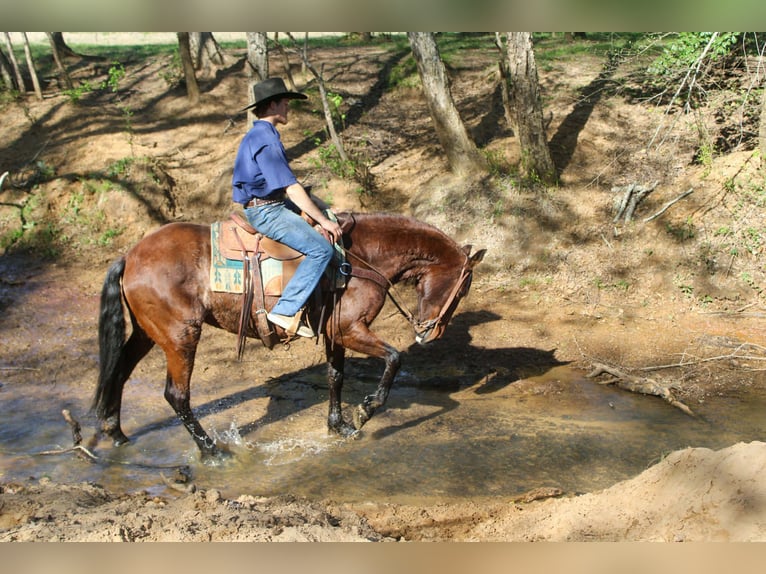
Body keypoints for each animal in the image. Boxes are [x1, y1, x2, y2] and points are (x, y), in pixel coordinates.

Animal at [92, 212, 485, 460]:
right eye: (463, 287)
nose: (430, 334)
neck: (361, 257)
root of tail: (130, 256)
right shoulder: (351, 329)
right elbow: (394, 358)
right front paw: (365, 411)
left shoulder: (335, 333)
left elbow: (336, 376)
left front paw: (339, 426)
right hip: (181, 336)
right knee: (176, 395)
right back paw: (210, 449)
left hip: (147, 333)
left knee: (119, 371)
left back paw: (115, 432)